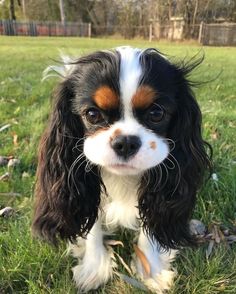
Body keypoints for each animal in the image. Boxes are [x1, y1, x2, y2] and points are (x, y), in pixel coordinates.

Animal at [32, 46, 211, 292]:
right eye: (92, 114)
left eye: (156, 113)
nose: (125, 142)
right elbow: (92, 226)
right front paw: (94, 268)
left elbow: (149, 227)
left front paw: (151, 271)